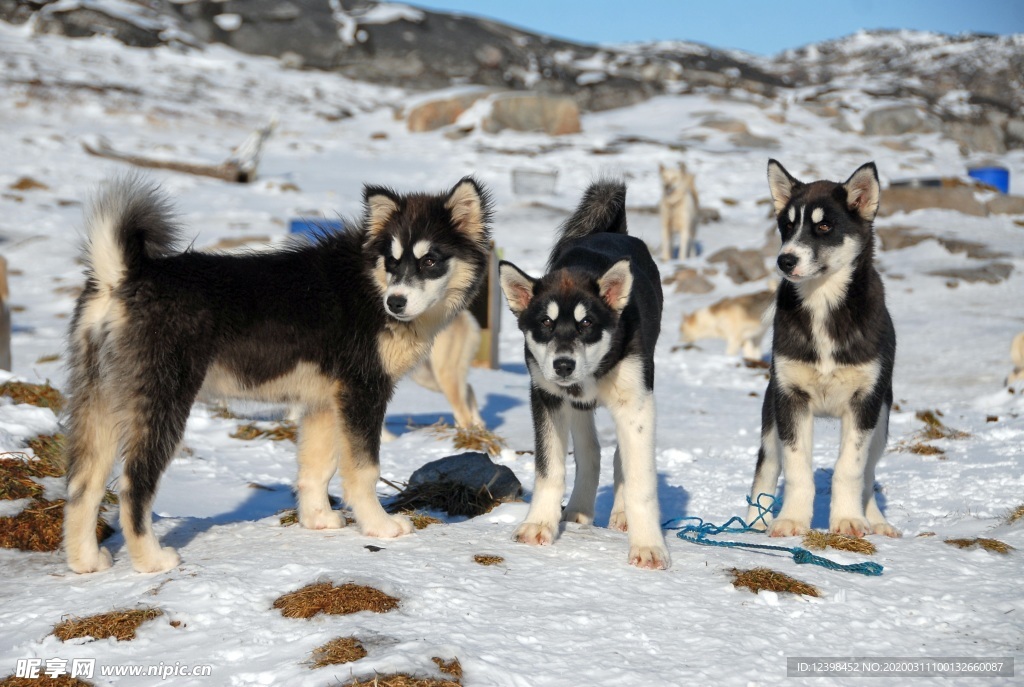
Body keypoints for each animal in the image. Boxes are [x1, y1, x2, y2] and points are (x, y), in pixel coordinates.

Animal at [61, 175, 493, 573]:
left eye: (430, 260)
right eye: (393, 260)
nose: (396, 302)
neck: (369, 283)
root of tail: (123, 276)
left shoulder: (324, 402)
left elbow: (317, 468)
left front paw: (317, 520)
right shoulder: (364, 390)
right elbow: (363, 470)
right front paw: (379, 526)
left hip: (99, 401)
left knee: (83, 484)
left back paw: (86, 562)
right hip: (163, 401)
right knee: (134, 486)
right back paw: (151, 560)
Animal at [497, 181, 671, 569]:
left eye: (587, 322)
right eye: (545, 323)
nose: (563, 365)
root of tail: (613, 230)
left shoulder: (636, 403)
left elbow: (640, 480)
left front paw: (648, 546)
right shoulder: (546, 397)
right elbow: (550, 469)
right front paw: (538, 524)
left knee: (620, 456)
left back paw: (620, 515)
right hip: (573, 404)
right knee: (590, 451)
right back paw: (577, 511)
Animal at [745, 162, 897, 544]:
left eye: (824, 226)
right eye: (787, 226)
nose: (785, 260)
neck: (823, 304)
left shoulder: (864, 402)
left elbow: (850, 468)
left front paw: (848, 520)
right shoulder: (790, 398)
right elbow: (797, 468)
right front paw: (791, 520)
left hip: (881, 422)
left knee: (869, 475)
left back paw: (876, 520)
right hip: (771, 414)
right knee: (767, 465)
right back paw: (754, 522)